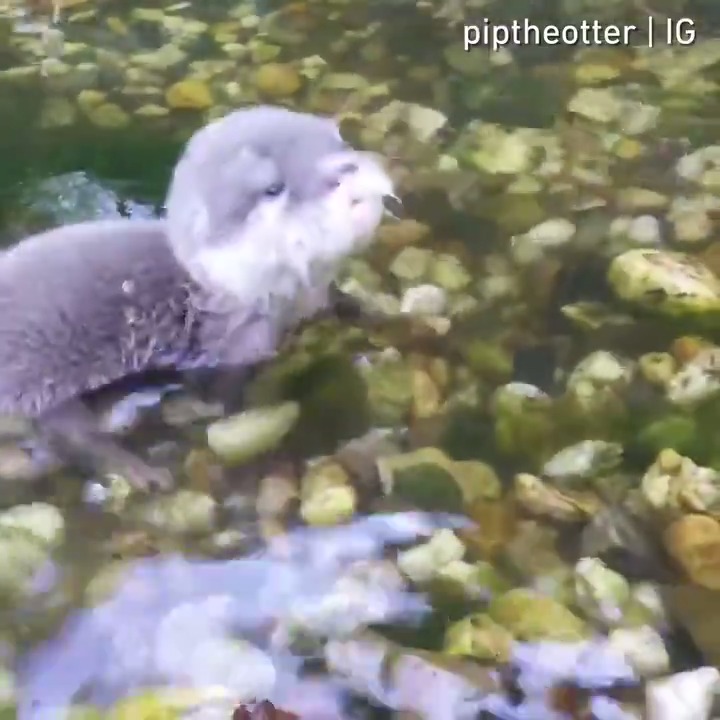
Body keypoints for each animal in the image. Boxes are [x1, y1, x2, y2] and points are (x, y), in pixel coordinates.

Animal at [0, 105, 397, 490]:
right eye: (273, 188)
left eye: (340, 142)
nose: (347, 169)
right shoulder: (237, 347)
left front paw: (379, 315)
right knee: (69, 436)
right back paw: (138, 471)